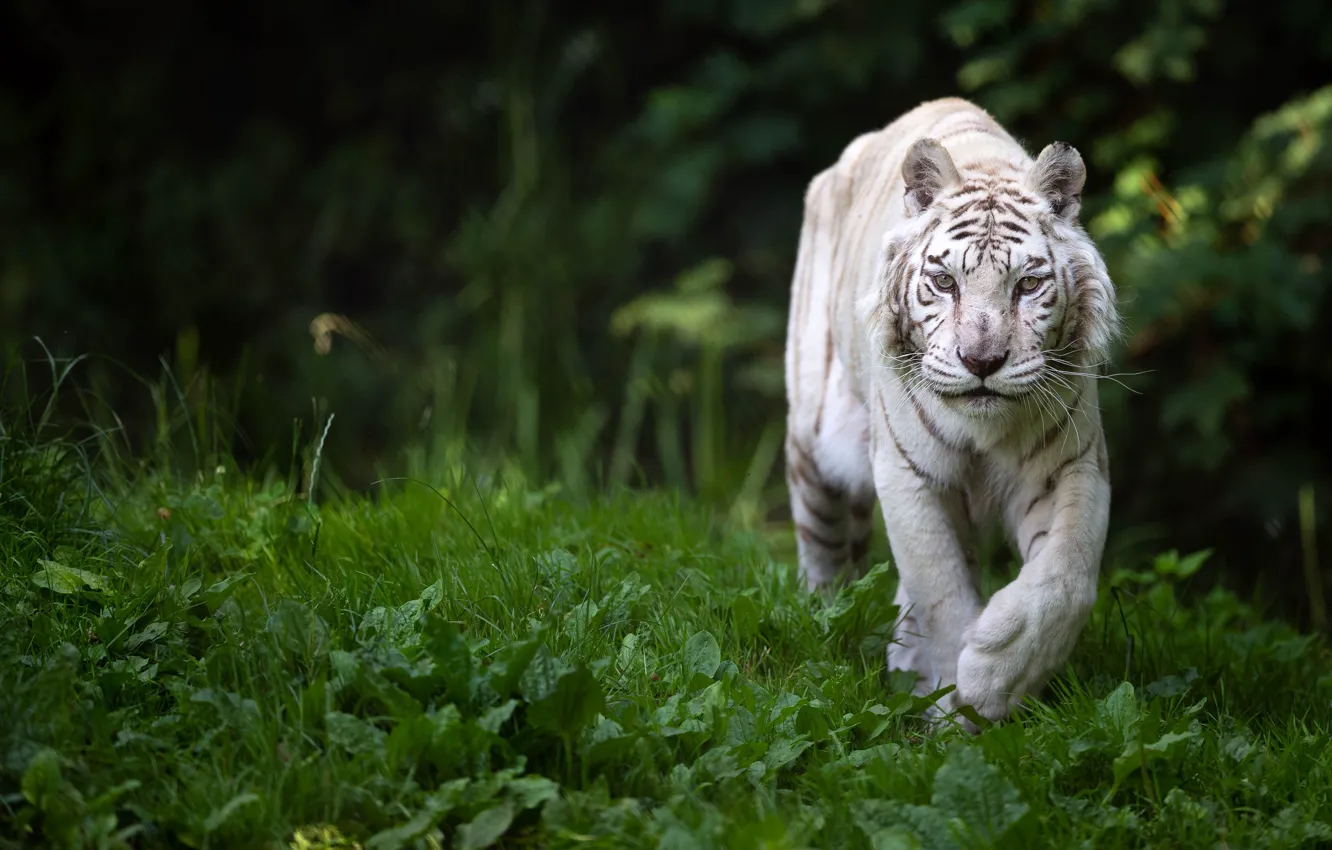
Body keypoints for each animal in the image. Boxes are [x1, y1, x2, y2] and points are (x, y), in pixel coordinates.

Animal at [783, 97, 1120, 728]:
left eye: (1028, 285)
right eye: (943, 282)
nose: (982, 360)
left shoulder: (1070, 465)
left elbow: (1065, 577)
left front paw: (994, 676)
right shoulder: (909, 473)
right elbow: (939, 591)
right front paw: (955, 707)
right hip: (813, 443)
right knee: (824, 551)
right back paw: (823, 622)